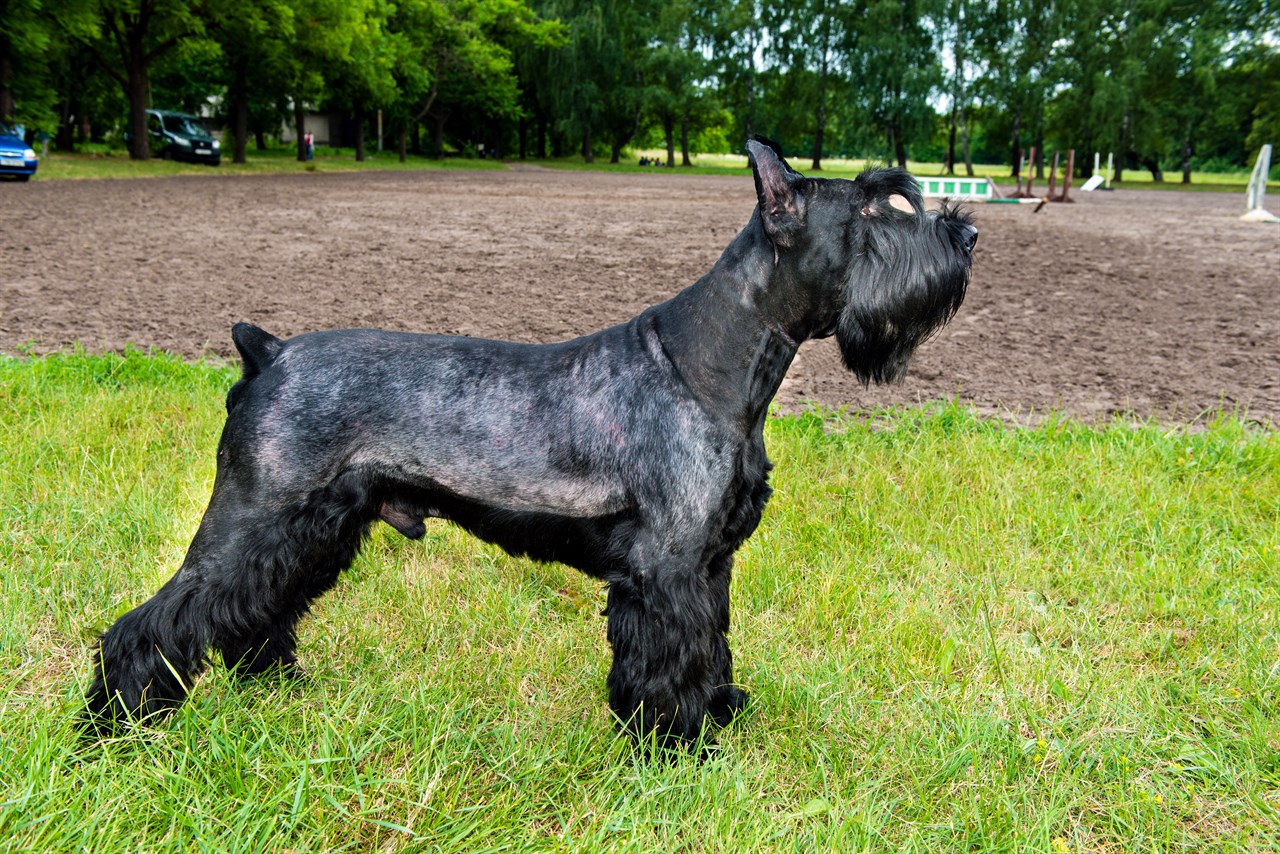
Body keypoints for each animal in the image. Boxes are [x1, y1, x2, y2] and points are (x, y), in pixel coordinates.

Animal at [80, 138, 972, 747]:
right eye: (873, 209)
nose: (964, 236)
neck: (709, 363)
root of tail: (268, 351)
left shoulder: (710, 565)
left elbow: (713, 649)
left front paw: (720, 714)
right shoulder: (666, 572)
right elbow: (670, 663)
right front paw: (676, 748)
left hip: (308, 532)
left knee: (251, 612)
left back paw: (275, 689)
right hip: (252, 520)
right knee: (153, 623)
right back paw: (112, 725)